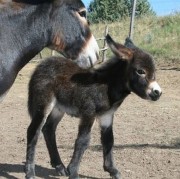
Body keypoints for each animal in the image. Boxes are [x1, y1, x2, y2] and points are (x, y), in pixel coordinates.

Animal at [25, 34, 162, 178]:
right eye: (140, 71)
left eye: (154, 71)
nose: (157, 93)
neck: (107, 85)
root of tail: (41, 65)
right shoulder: (88, 113)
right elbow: (83, 141)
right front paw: (73, 172)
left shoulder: (107, 116)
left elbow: (109, 141)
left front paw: (112, 170)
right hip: (44, 103)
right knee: (33, 131)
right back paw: (30, 172)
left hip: (58, 108)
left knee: (48, 129)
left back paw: (59, 166)